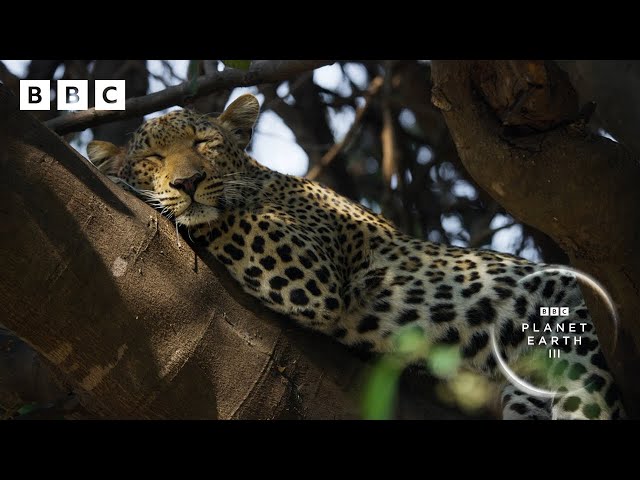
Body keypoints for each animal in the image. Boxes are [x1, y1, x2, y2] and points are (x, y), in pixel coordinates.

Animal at [85, 94, 624, 420]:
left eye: (204, 143)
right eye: (152, 159)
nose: (188, 182)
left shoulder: (307, 266)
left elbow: (224, 216)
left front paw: (130, 188)